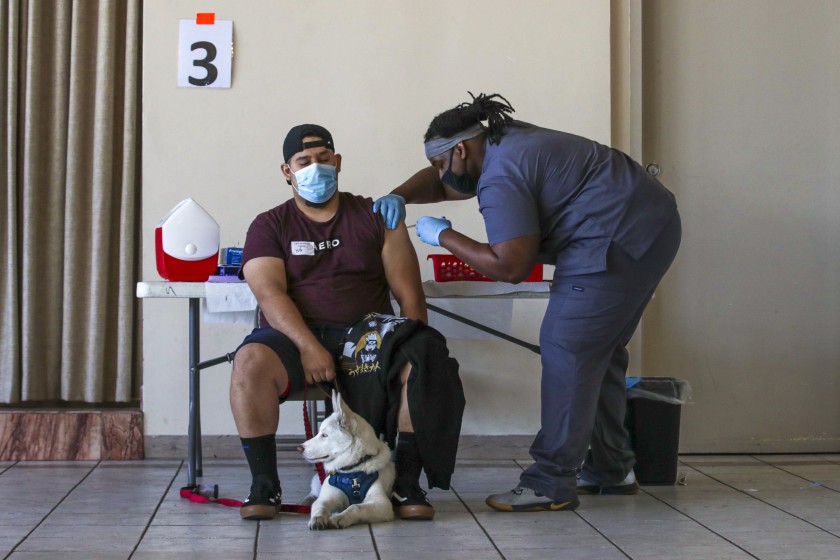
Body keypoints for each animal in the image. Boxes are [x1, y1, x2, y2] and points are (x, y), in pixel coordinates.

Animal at [298, 390, 398, 528]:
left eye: (325, 435)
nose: (299, 448)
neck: (352, 471)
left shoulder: (382, 504)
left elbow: (356, 507)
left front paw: (340, 517)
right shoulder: (326, 498)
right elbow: (319, 505)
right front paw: (318, 518)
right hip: (319, 483)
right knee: (314, 491)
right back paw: (306, 500)